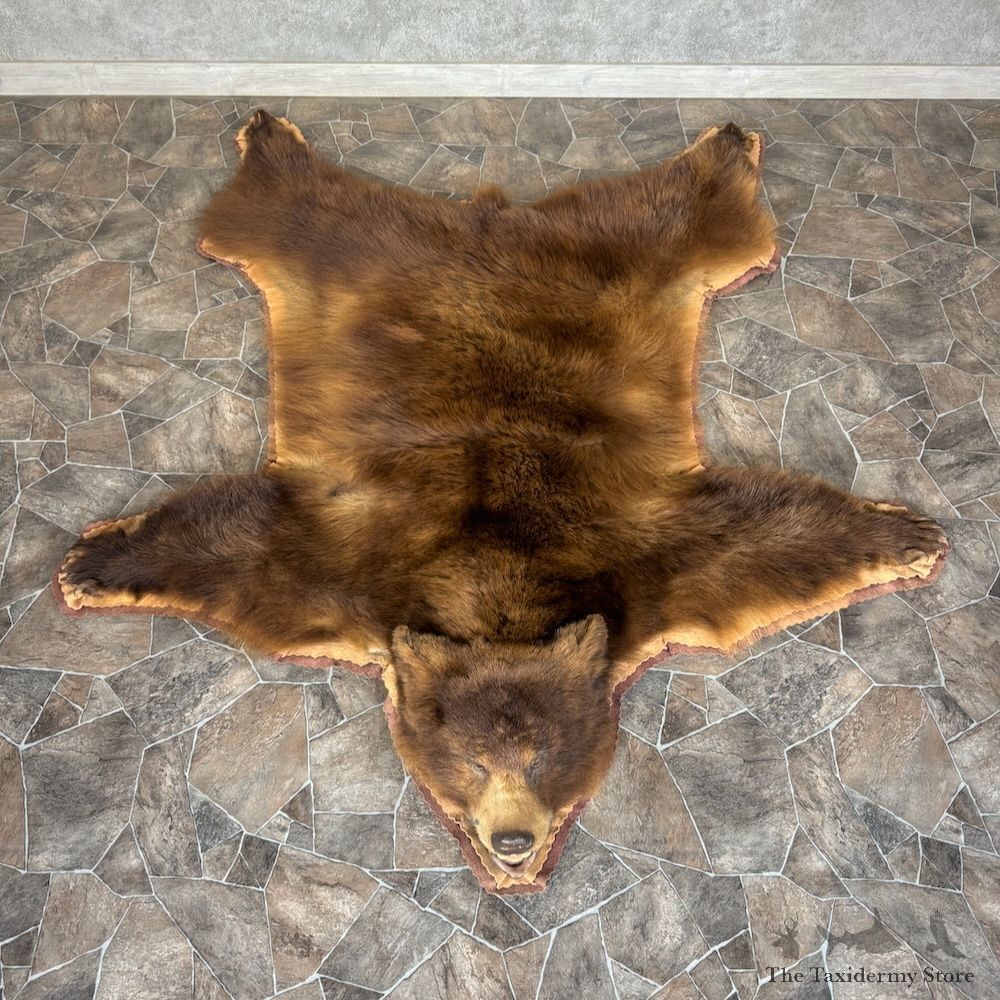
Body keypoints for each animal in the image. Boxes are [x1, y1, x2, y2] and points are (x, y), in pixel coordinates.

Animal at [58, 112, 947, 889]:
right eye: (474, 761)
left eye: (543, 756)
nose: (513, 841)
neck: (495, 584)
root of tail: (485, 219)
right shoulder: (346, 559)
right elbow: (237, 543)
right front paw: (90, 559)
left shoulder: (648, 560)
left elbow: (764, 539)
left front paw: (910, 533)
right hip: (343, 246)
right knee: (283, 212)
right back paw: (273, 136)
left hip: (631, 254)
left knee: (692, 218)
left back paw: (725, 143)